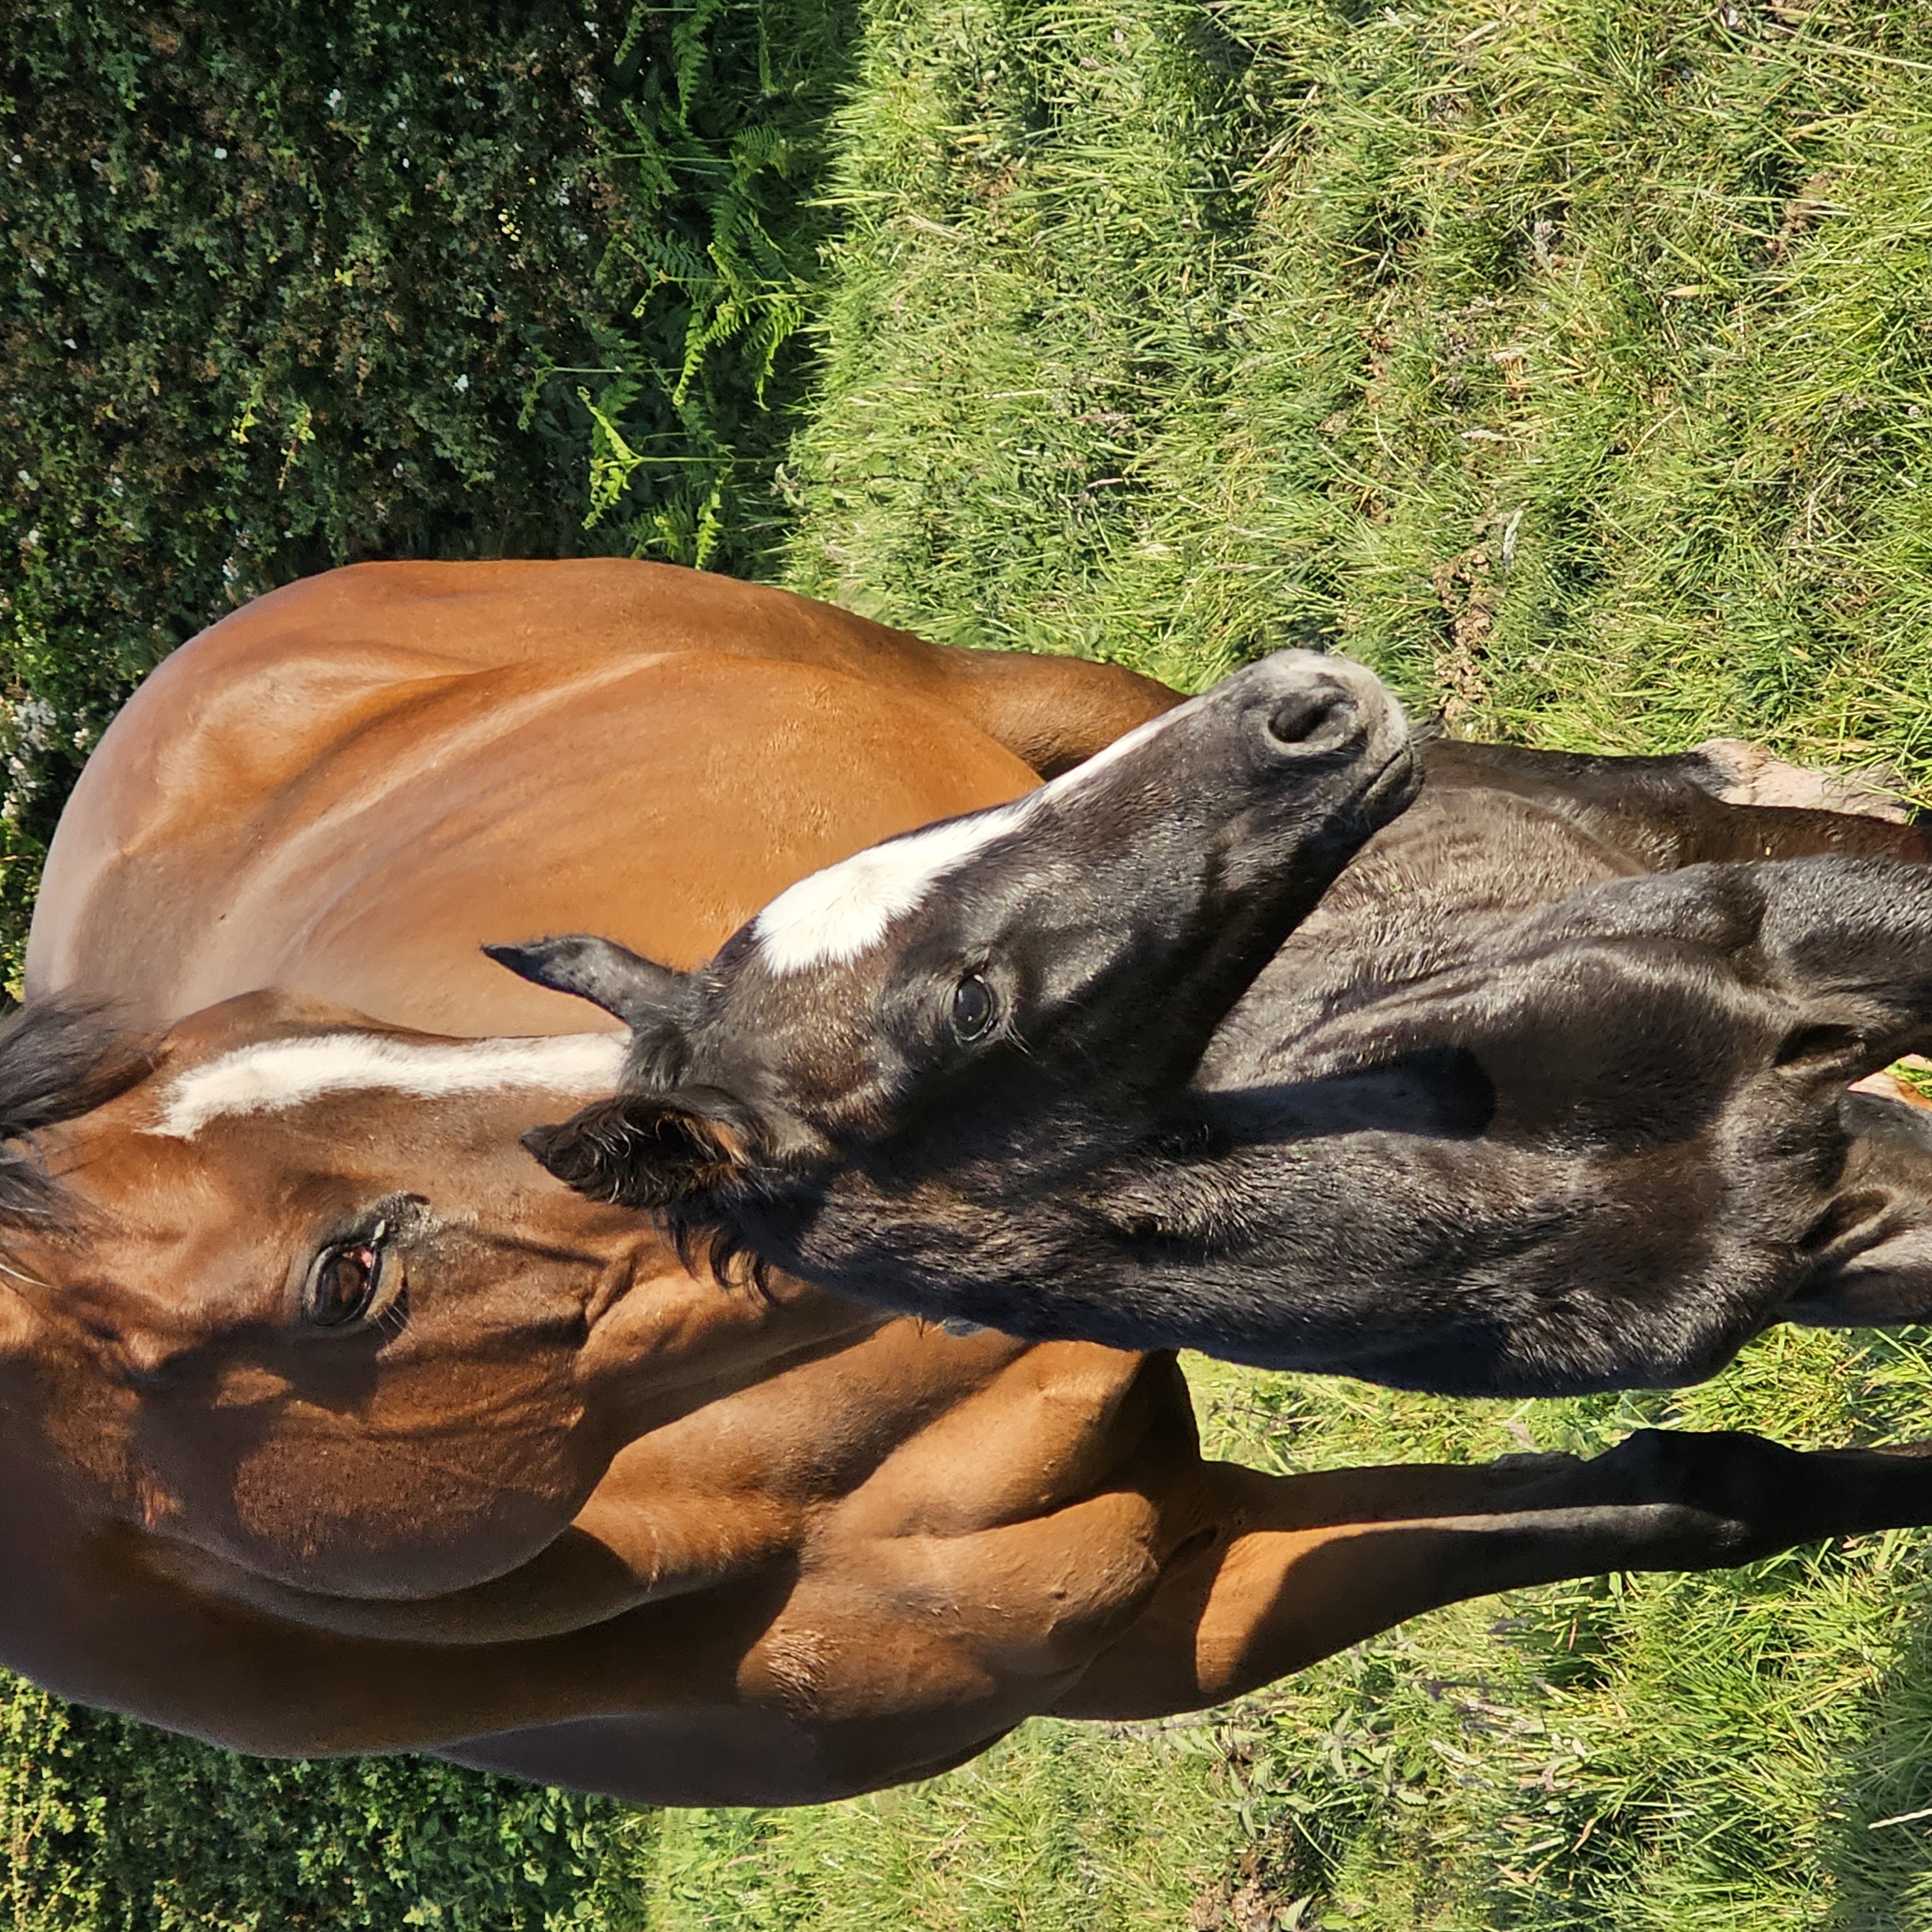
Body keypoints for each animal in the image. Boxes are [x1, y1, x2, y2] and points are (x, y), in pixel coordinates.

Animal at [9, 556, 1932, 1807]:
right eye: (345, 1278)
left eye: (314, 1022)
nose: (1301, 706)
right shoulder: (1184, 1607)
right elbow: (1702, 1492)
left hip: (1033, 697)